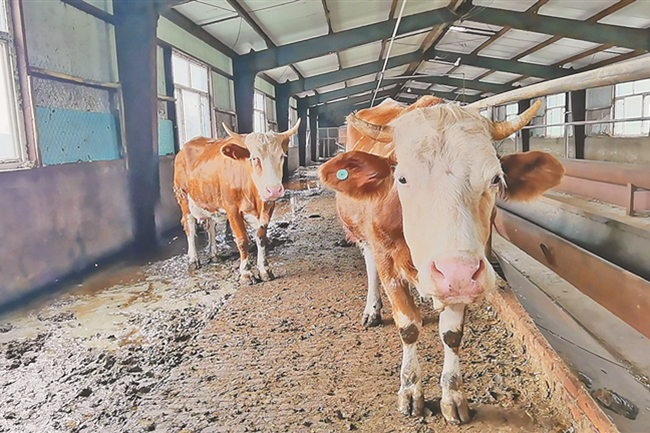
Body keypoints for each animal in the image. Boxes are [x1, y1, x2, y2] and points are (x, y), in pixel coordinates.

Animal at [174, 120, 300, 284]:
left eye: (281, 156)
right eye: (254, 158)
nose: (274, 190)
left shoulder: (268, 207)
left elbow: (261, 238)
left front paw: (264, 269)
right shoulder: (232, 209)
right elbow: (242, 240)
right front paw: (246, 273)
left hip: (210, 200)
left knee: (211, 225)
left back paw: (214, 254)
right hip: (183, 198)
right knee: (189, 226)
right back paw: (193, 259)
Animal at [319, 97, 564, 424]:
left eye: (495, 179)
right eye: (402, 178)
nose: (456, 273)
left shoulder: (463, 275)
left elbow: (452, 334)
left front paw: (453, 396)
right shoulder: (388, 259)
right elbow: (408, 326)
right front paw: (410, 391)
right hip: (363, 236)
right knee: (370, 266)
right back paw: (372, 309)